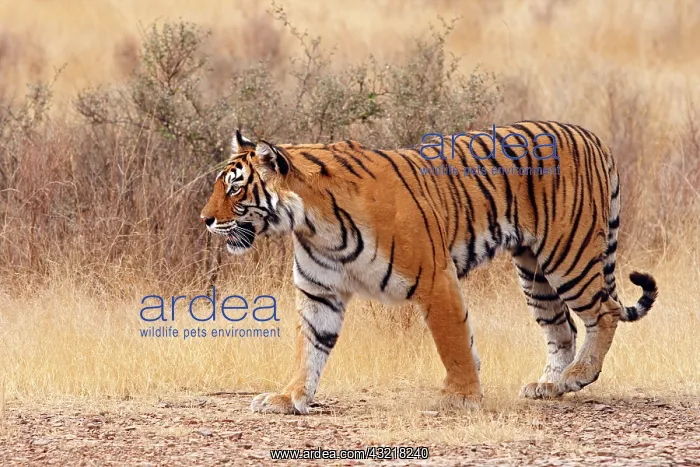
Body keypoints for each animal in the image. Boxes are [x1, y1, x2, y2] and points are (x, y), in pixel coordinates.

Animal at [200, 121, 658, 414]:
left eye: (235, 188)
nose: (204, 219)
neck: (313, 223)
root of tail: (593, 136)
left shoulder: (435, 278)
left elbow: (453, 342)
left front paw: (461, 398)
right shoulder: (319, 292)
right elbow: (308, 348)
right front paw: (288, 397)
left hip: (568, 256)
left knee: (604, 312)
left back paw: (579, 375)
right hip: (533, 271)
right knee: (561, 329)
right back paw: (551, 385)